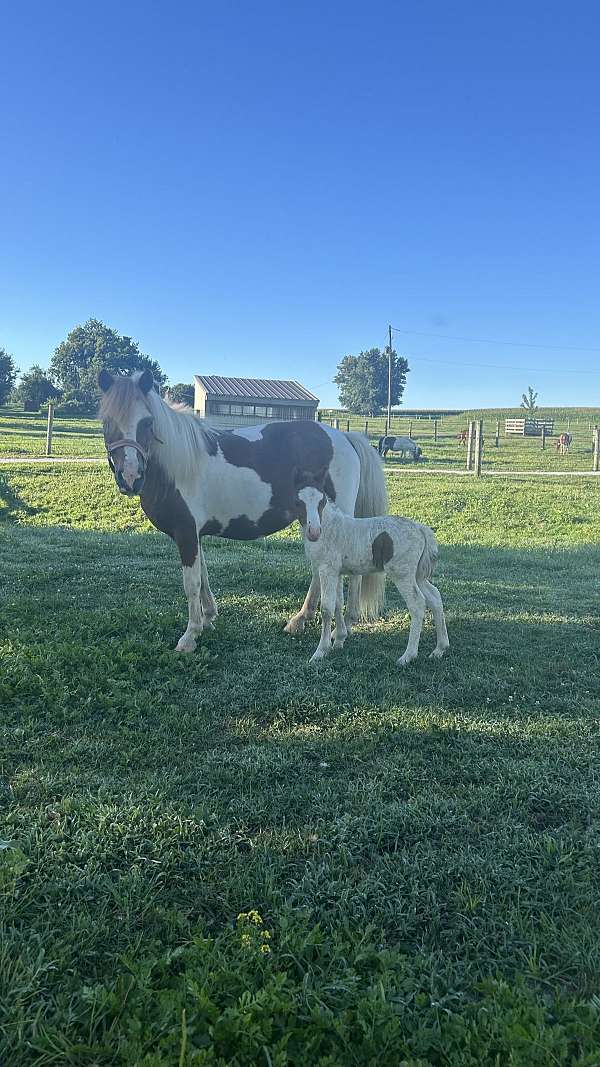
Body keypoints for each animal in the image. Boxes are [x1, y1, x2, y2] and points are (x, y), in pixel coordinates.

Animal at [98, 370, 388, 652]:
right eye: (106, 422)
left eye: (147, 422)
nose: (130, 477)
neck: (178, 465)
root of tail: (344, 438)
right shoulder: (195, 535)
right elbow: (203, 577)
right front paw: (208, 618)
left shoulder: (186, 533)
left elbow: (191, 584)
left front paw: (190, 635)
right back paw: (301, 619)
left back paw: (344, 625)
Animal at [295, 482, 449, 666]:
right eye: (299, 502)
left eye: (322, 501)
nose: (313, 531)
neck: (329, 528)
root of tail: (420, 529)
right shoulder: (336, 573)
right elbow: (338, 604)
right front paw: (339, 641)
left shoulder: (326, 570)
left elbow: (326, 608)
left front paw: (320, 652)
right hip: (418, 576)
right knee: (435, 597)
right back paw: (439, 649)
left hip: (402, 574)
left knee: (418, 603)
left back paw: (407, 656)